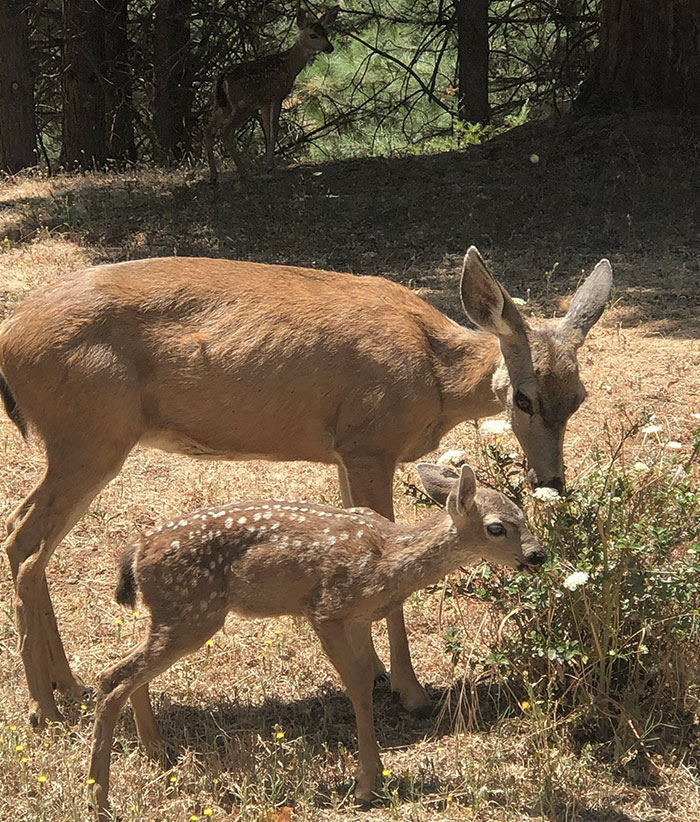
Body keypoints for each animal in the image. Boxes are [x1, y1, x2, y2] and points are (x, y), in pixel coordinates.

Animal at [0, 246, 612, 729]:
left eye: (580, 398)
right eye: (523, 398)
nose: (551, 480)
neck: (436, 378)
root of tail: (10, 340)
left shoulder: (343, 450)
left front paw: (383, 672)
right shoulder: (369, 441)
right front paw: (411, 690)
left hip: (82, 441)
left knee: (20, 533)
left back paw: (67, 688)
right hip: (91, 434)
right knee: (25, 540)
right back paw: (44, 708)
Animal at [87, 462, 546, 818]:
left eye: (524, 514)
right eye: (496, 528)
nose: (539, 554)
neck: (387, 562)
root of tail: (137, 550)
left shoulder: (358, 618)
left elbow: (365, 684)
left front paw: (375, 777)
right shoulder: (326, 610)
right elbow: (358, 687)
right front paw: (365, 786)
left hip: (176, 617)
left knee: (121, 671)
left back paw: (156, 754)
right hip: (192, 611)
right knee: (113, 678)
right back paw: (100, 798)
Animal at [204, 5, 340, 183]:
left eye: (326, 32)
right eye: (313, 35)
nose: (329, 48)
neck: (289, 66)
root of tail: (222, 79)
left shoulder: (264, 101)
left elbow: (267, 129)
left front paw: (268, 164)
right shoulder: (278, 95)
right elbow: (274, 128)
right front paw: (269, 166)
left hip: (219, 105)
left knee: (208, 131)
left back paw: (213, 175)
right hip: (243, 104)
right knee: (225, 132)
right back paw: (243, 172)